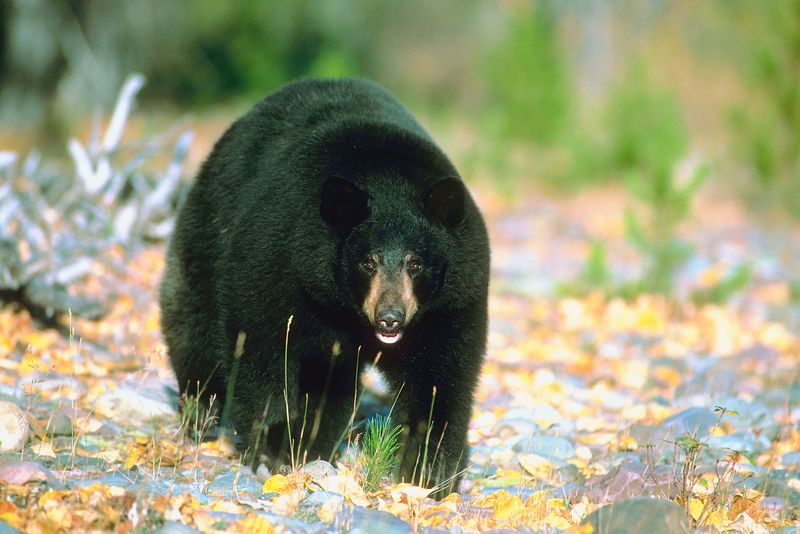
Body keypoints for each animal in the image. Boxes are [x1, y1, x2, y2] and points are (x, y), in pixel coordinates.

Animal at [160, 78, 490, 495]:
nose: (391, 318)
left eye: (416, 263)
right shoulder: (280, 261)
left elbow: (439, 376)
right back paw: (200, 415)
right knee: (193, 326)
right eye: (368, 262)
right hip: (206, 235)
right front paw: (274, 447)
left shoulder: (452, 300)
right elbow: (262, 347)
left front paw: (427, 471)